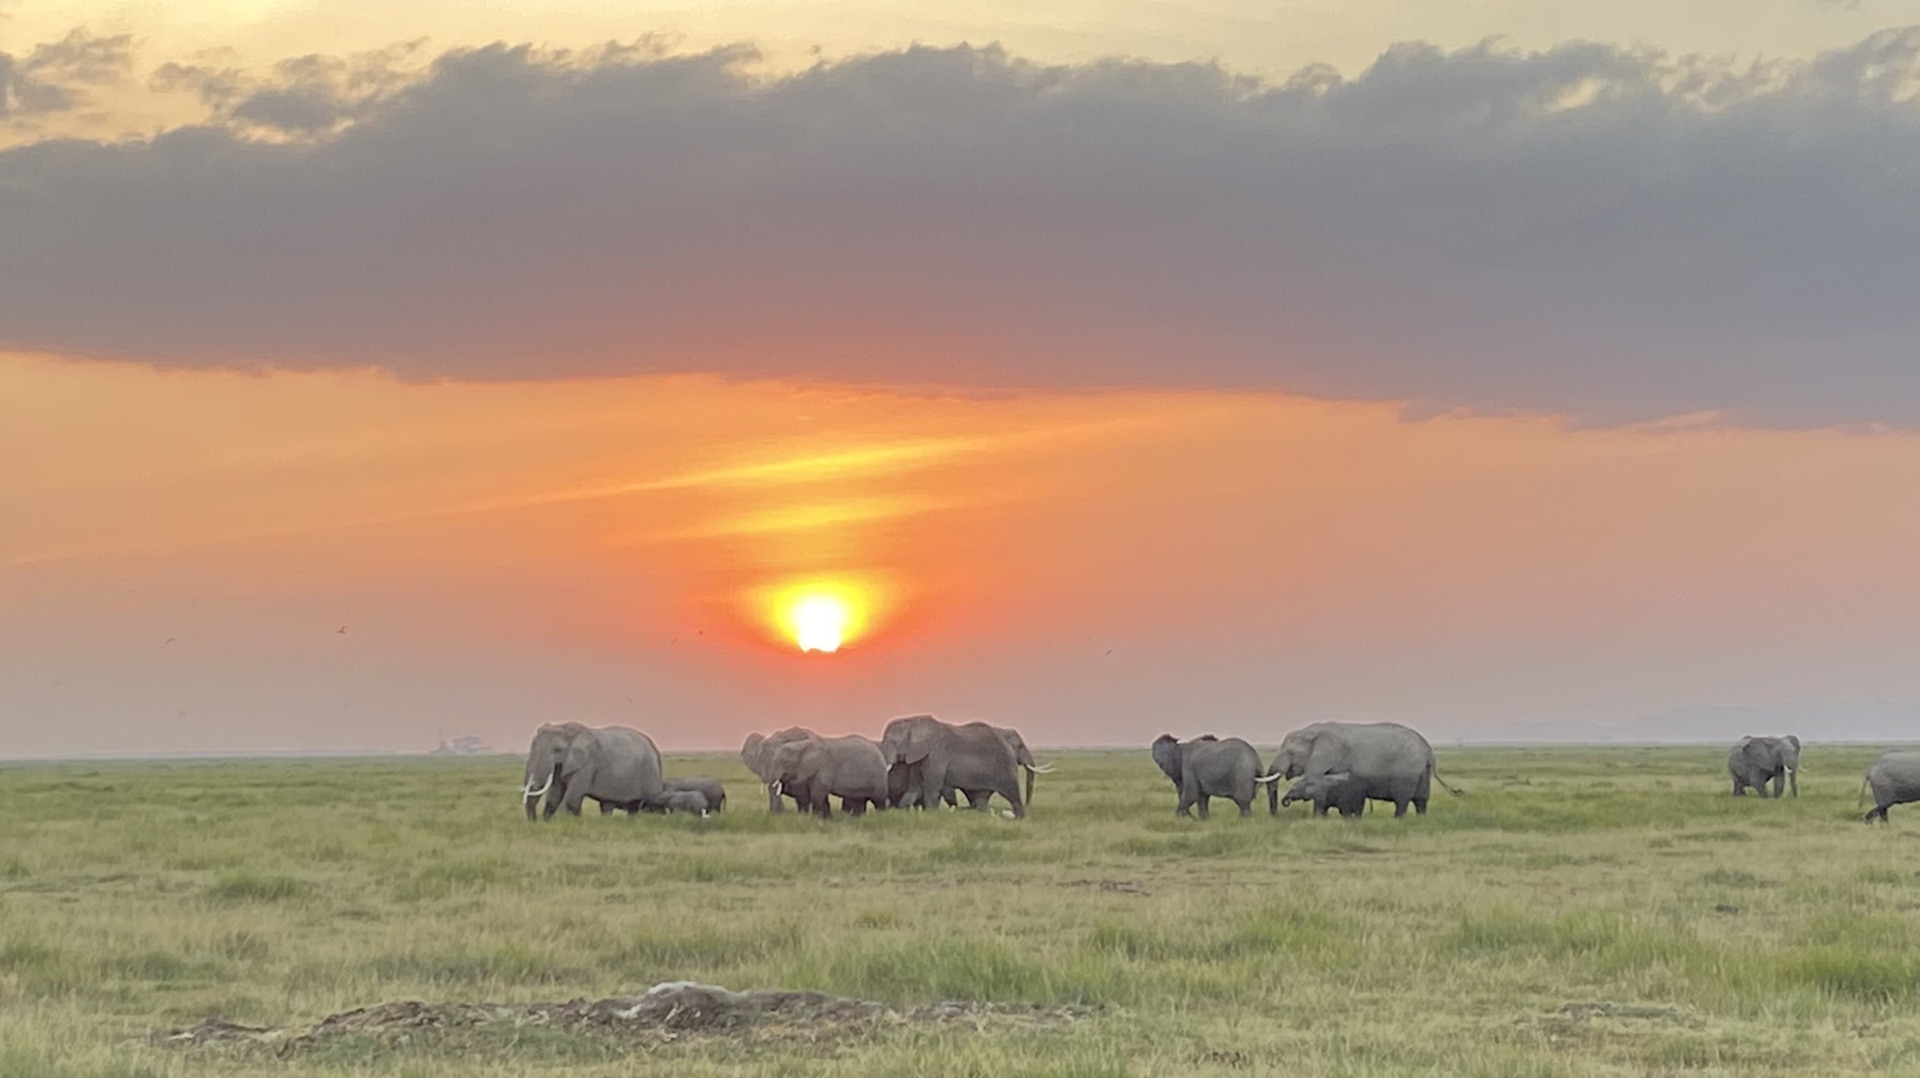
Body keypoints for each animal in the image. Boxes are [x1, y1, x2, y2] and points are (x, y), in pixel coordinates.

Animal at [522, 718, 664, 818]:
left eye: (557, 750)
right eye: (532, 746)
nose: (533, 821)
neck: (565, 728)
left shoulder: (588, 764)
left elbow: (573, 796)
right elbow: (555, 794)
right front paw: (548, 821)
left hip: (649, 772)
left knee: (647, 803)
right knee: (611, 805)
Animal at [1144, 730, 1282, 814]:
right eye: (1155, 757)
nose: (1192, 818)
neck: (1180, 747)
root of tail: (1256, 759)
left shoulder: (1189, 768)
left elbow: (1191, 795)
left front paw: (1178, 819)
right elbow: (1202, 798)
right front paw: (1203, 821)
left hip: (1242, 773)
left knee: (1242, 801)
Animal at [1267, 722, 1459, 814]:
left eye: (1290, 752)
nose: (1275, 815)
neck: (1311, 732)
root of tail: (1429, 752)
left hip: (1407, 772)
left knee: (1402, 800)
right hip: (1422, 773)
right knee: (1421, 801)